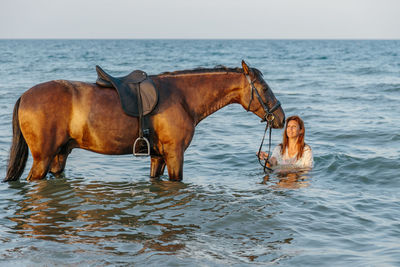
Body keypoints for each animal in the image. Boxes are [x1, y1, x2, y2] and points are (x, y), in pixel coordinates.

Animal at [3, 61, 284, 183]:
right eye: (264, 88)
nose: (280, 118)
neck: (183, 97)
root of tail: (26, 95)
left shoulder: (158, 157)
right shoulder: (174, 154)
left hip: (60, 155)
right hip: (43, 158)